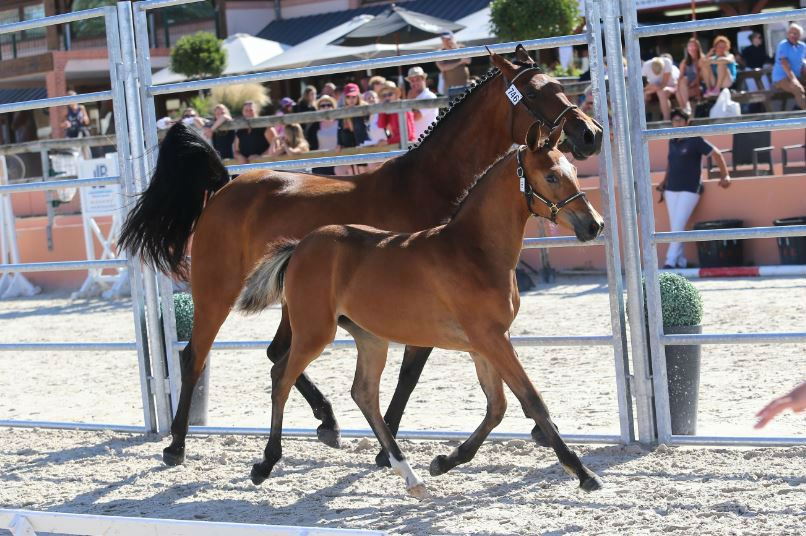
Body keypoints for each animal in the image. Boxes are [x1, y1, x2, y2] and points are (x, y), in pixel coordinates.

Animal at [118, 46, 600, 466]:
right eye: (534, 93)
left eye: (559, 83)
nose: (588, 133)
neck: (428, 185)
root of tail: (223, 186)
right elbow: (410, 374)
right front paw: (388, 449)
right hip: (215, 290)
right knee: (195, 356)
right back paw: (176, 444)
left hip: (293, 303)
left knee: (278, 354)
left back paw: (327, 422)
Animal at [240, 122, 608, 498]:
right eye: (551, 176)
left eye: (574, 170)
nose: (594, 225)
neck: (473, 251)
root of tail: (299, 246)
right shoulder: (491, 339)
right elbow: (532, 400)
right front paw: (582, 472)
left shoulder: (485, 344)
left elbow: (498, 406)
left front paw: (445, 461)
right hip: (314, 331)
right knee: (282, 377)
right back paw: (265, 464)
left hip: (369, 338)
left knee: (363, 393)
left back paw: (410, 476)